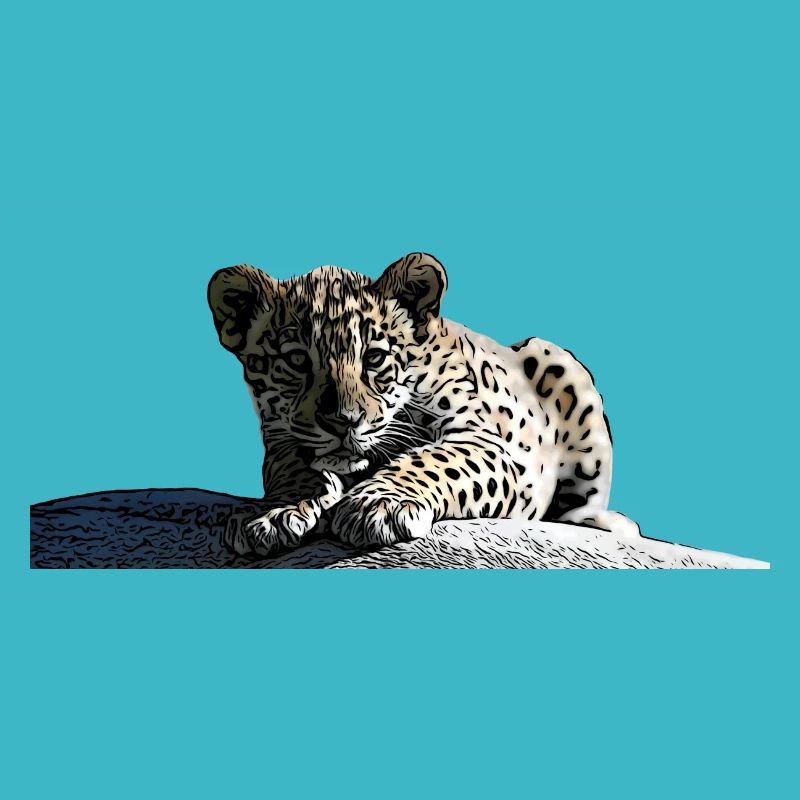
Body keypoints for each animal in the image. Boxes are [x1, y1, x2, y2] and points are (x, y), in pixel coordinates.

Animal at [208, 252, 640, 557]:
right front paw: (275, 512)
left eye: (374, 358)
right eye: (297, 360)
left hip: (560, 365)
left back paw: (605, 522)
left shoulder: (489, 442)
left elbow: (433, 460)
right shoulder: (280, 440)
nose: (344, 421)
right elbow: (291, 466)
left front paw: (379, 505)